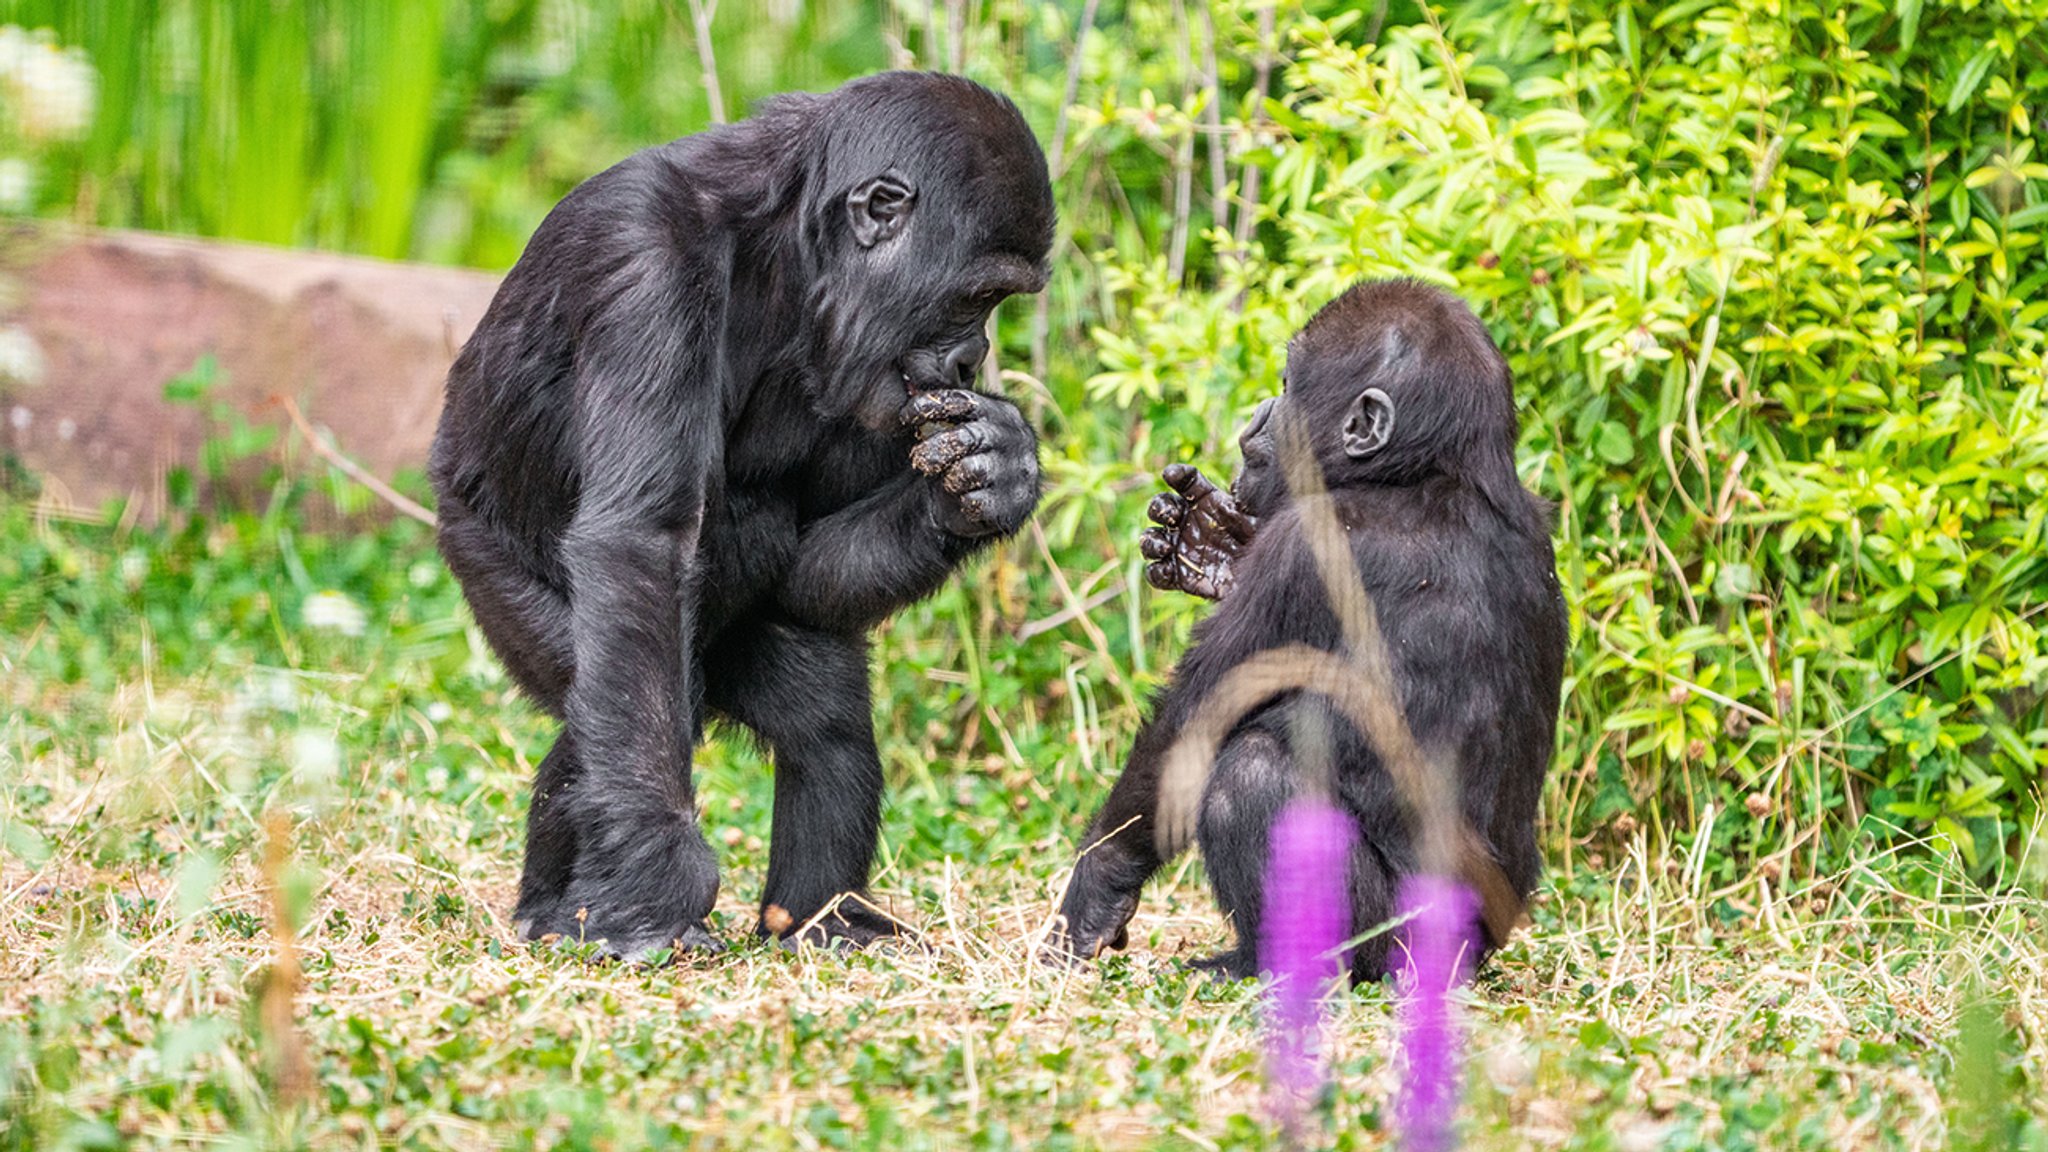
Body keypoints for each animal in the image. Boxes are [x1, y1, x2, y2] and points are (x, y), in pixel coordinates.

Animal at [423, 67, 1048, 955]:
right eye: (980, 295)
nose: (972, 357)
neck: (790, 247)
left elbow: (810, 574)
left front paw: (990, 476)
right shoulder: (647, 260)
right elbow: (640, 541)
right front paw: (658, 887)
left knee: (823, 718)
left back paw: (824, 919)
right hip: (484, 559)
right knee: (626, 697)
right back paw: (560, 905)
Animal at [1056, 278, 1564, 975]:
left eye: (1289, 383)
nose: (1260, 411)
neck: (1434, 472)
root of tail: (1475, 952)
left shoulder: (1301, 554)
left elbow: (1192, 722)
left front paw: (1098, 884)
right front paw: (1214, 544)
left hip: (1397, 945)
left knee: (1249, 775)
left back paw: (1268, 965)